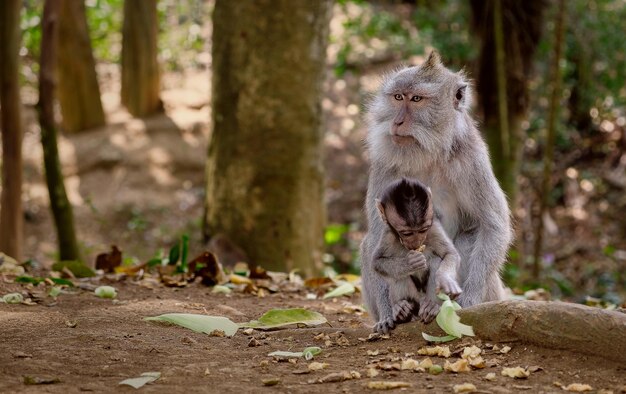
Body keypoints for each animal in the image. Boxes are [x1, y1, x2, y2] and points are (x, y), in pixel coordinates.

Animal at [370, 179, 464, 326]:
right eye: (406, 233)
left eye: (423, 230)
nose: (417, 241)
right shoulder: (388, 235)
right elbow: (377, 261)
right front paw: (409, 262)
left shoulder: (434, 229)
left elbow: (449, 254)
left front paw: (446, 280)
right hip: (415, 298)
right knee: (398, 275)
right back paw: (401, 310)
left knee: (436, 261)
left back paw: (432, 306)